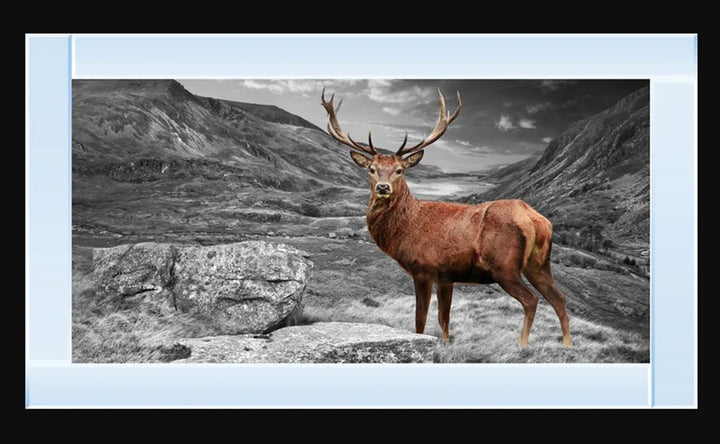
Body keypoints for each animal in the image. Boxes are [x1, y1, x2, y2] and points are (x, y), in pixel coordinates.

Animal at [320, 87, 571, 347]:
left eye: (400, 170)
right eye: (372, 169)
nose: (382, 187)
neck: (405, 229)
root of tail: (536, 220)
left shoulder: (423, 268)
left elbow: (420, 321)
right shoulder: (446, 277)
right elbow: (444, 320)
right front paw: (446, 344)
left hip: (504, 265)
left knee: (531, 300)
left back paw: (522, 346)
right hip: (539, 264)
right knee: (559, 299)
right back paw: (567, 345)